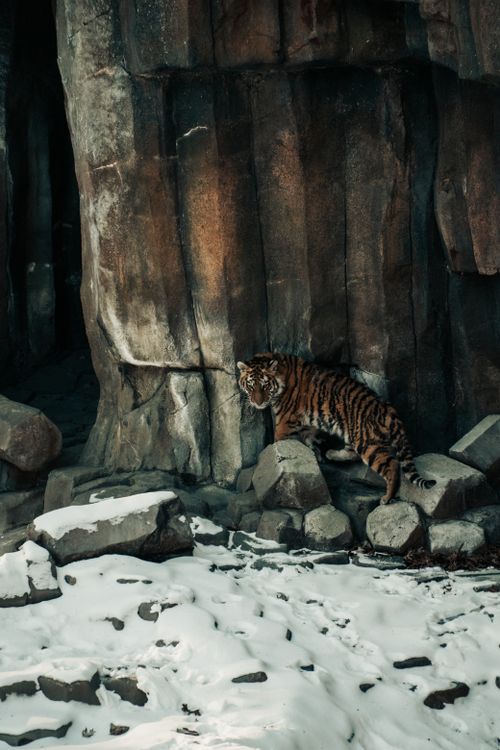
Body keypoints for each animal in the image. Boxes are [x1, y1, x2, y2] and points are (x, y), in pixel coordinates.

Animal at [237, 352, 435, 504]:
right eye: (251, 385)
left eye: (265, 385)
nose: (257, 403)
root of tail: (388, 409)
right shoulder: (307, 423)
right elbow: (308, 438)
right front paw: (316, 454)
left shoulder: (285, 422)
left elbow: (278, 441)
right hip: (354, 434)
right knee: (352, 453)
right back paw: (331, 453)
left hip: (368, 443)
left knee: (392, 465)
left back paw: (387, 498)